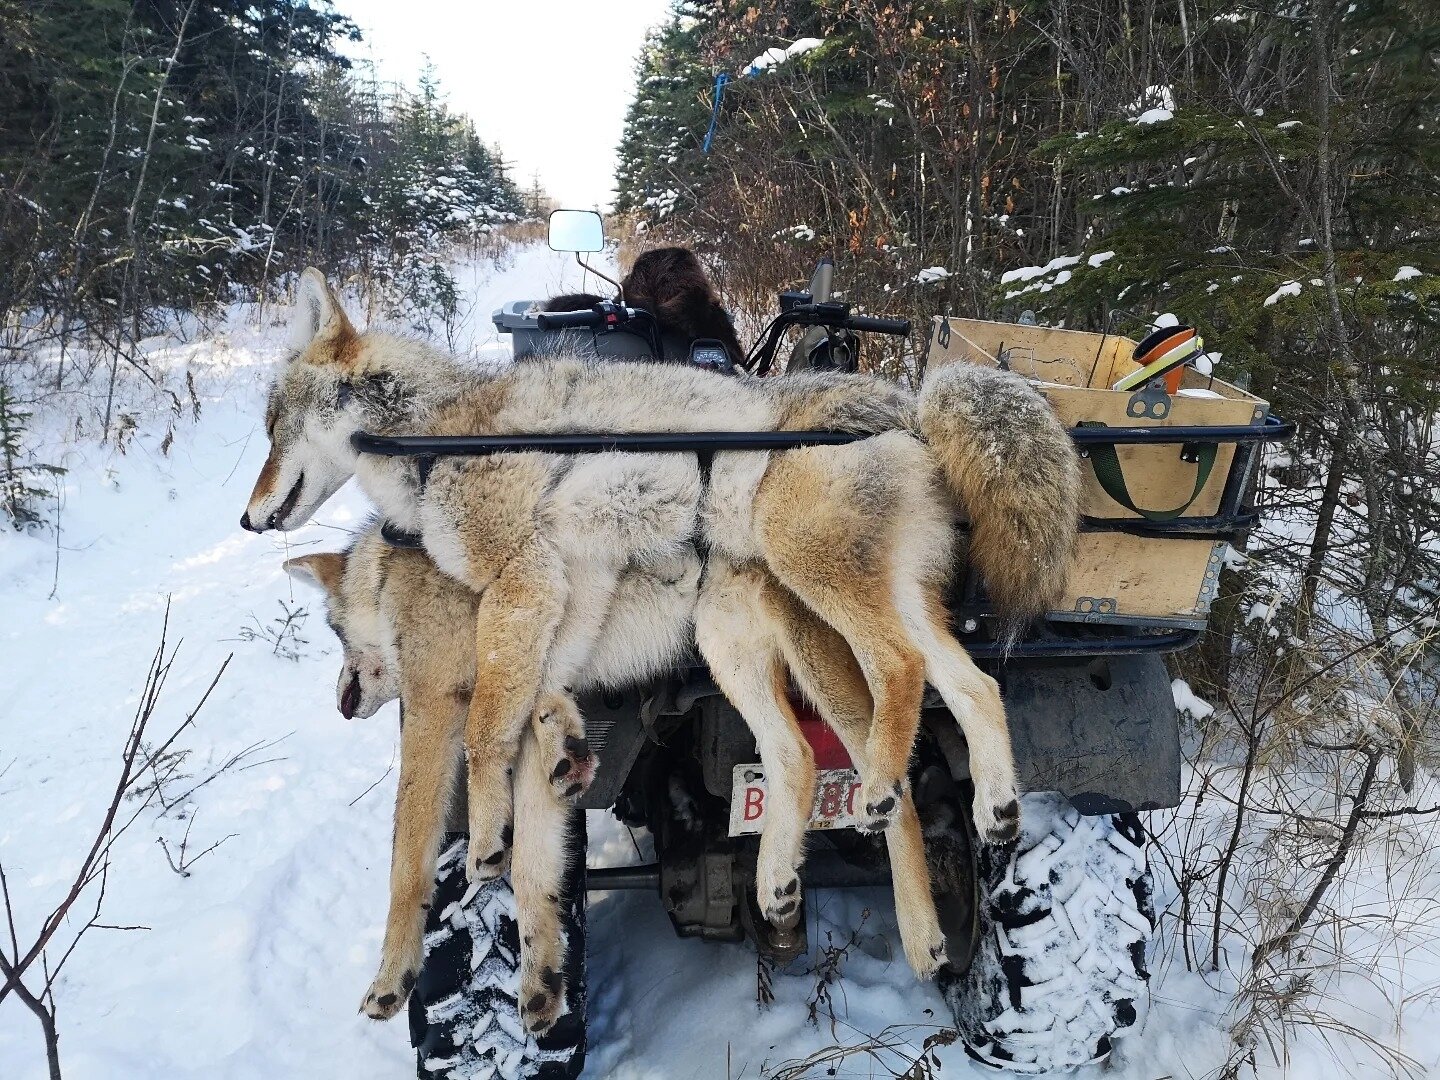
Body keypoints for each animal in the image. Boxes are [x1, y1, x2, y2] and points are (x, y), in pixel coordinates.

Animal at [241, 268, 1080, 983]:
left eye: (273, 427)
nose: (247, 519)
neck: (435, 439)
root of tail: (912, 404)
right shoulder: (570, 588)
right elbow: (538, 699)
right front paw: (559, 752)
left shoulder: (521, 583)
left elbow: (483, 735)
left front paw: (485, 842)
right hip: (770, 635)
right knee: (942, 702)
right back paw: (963, 841)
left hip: (814, 580)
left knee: (899, 683)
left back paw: (874, 806)